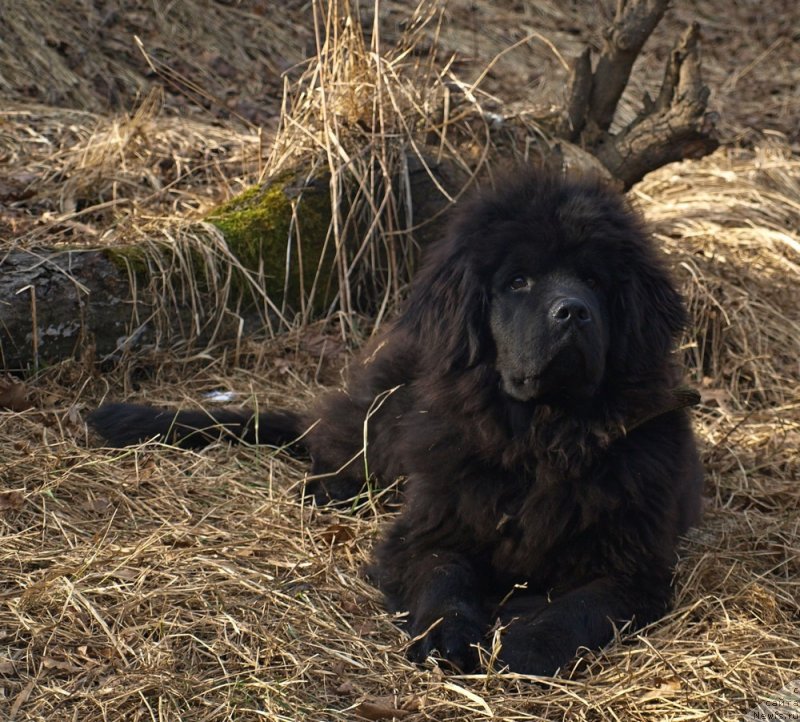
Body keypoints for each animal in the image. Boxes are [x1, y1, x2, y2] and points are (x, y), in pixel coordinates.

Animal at [89, 170, 700, 676]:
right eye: (518, 281)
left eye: (595, 281)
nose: (572, 310)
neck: (542, 437)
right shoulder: (430, 526)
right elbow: (444, 577)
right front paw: (447, 637)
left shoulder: (633, 565)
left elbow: (580, 606)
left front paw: (527, 644)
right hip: (386, 412)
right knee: (336, 443)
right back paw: (330, 487)